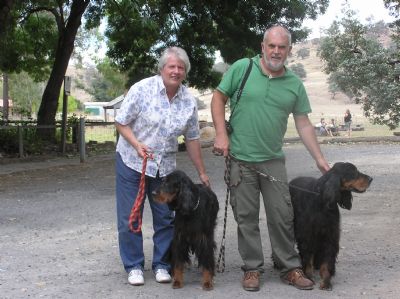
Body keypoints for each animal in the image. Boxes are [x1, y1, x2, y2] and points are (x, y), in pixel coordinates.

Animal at [288, 163, 372, 292]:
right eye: (353, 172)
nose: (371, 179)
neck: (321, 199)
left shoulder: (330, 234)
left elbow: (327, 261)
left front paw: (326, 282)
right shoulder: (307, 235)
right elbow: (307, 257)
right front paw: (308, 276)